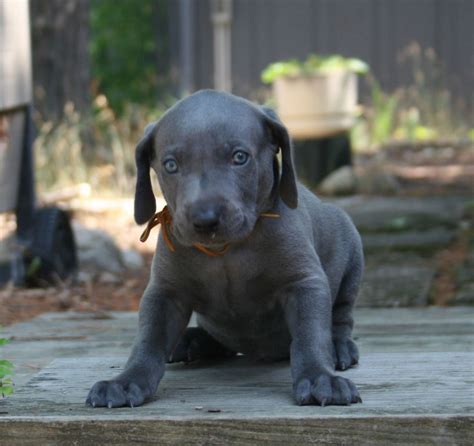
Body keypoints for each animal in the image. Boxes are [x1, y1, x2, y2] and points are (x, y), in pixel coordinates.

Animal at [87, 89, 364, 408]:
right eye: (170, 165)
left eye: (239, 157)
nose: (204, 219)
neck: (225, 251)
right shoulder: (164, 293)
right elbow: (148, 340)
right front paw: (126, 380)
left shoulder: (304, 282)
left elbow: (310, 335)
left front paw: (320, 377)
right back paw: (192, 341)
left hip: (352, 252)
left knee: (341, 315)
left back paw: (339, 347)